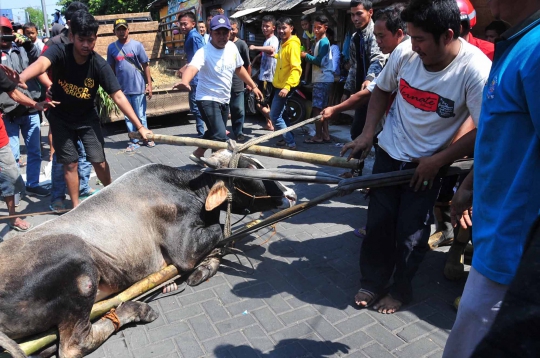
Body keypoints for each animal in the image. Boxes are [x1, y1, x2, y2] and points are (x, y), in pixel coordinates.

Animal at [0, 150, 296, 356]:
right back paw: (135, 309)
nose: (291, 193)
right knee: (74, 345)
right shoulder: (184, 250)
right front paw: (203, 267)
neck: (188, 188)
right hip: (79, 269)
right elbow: (220, 234)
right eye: (250, 169)